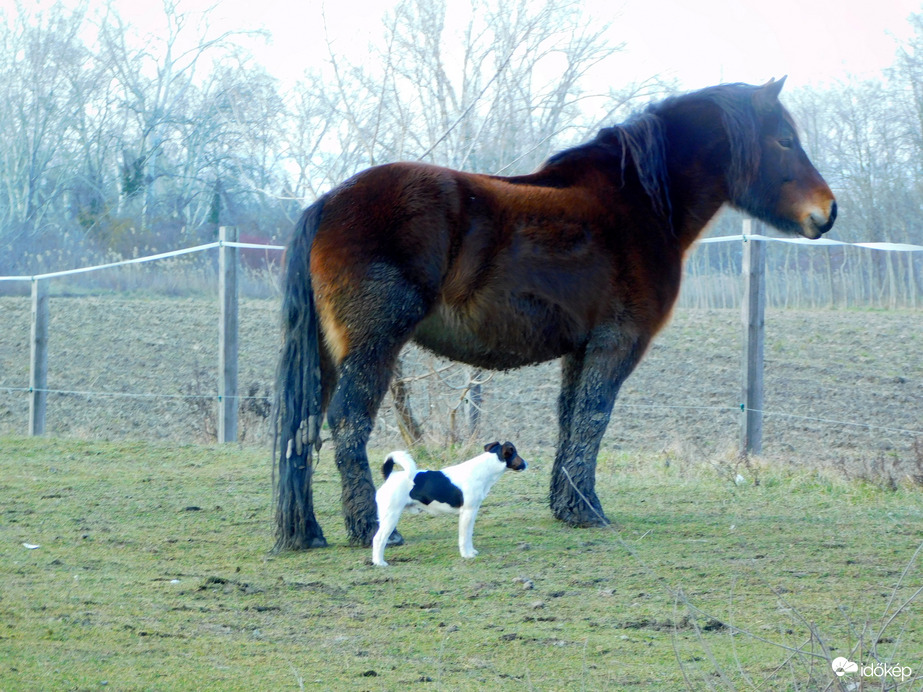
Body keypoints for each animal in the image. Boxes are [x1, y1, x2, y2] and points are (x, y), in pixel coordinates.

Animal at [370, 440, 528, 564]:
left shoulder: (472, 512)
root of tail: (390, 476)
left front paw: (471, 552)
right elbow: (464, 537)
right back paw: (379, 563)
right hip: (391, 517)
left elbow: (469, 534)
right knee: (378, 539)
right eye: (515, 452)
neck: (483, 470)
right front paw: (466, 555)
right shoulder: (467, 512)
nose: (526, 463)